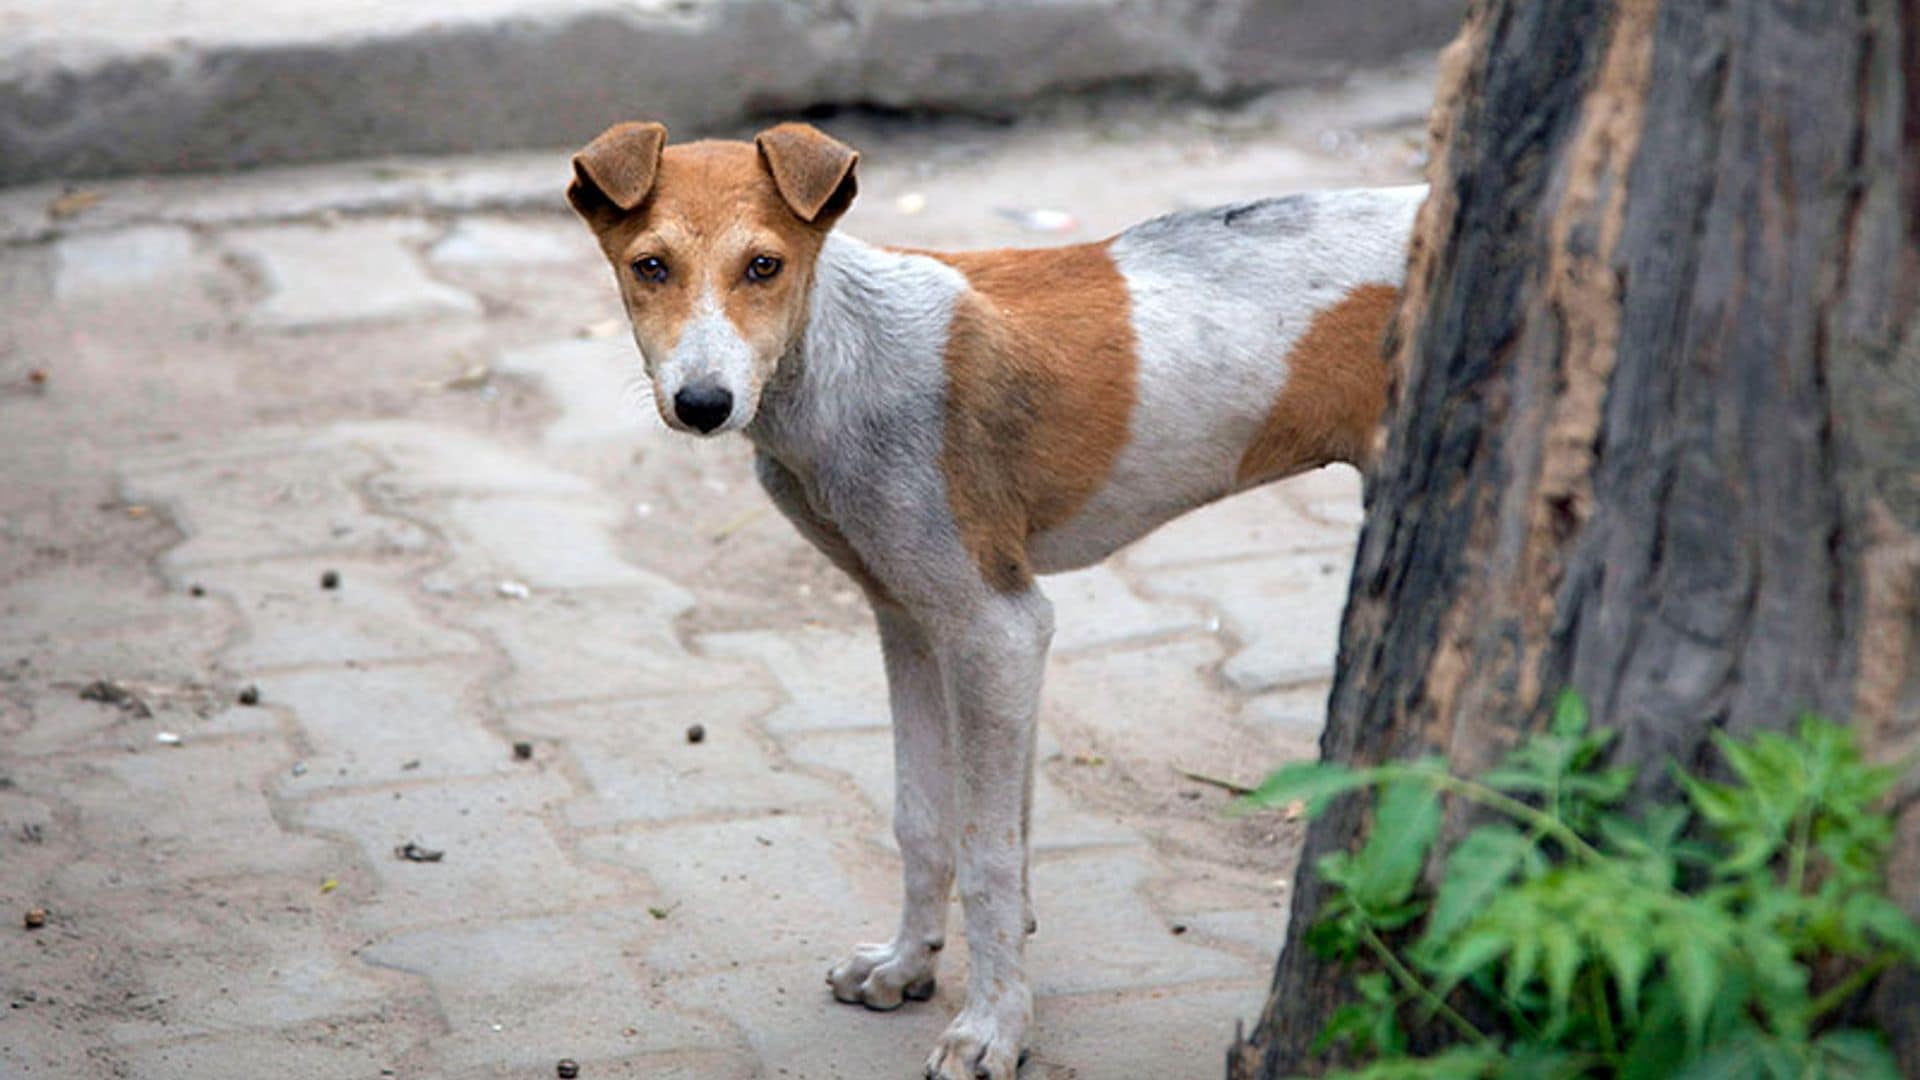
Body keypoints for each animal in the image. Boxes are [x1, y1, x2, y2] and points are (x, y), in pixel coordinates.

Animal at [560, 122, 1420, 1068]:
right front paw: (907, 965)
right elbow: (923, 820)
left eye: (763, 266)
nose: (703, 404)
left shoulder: (998, 626)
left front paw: (994, 1026)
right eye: (649, 266)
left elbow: (990, 852)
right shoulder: (909, 621)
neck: (839, 362)